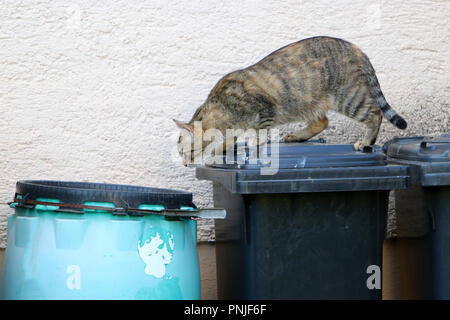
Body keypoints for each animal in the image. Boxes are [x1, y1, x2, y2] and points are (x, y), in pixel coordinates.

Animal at [174, 36, 406, 166]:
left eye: (186, 152)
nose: (184, 164)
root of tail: (357, 49)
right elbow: (229, 138)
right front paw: (223, 146)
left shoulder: (265, 110)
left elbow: (259, 133)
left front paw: (253, 143)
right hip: (310, 102)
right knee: (322, 122)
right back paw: (297, 136)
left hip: (349, 98)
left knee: (375, 113)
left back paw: (366, 142)